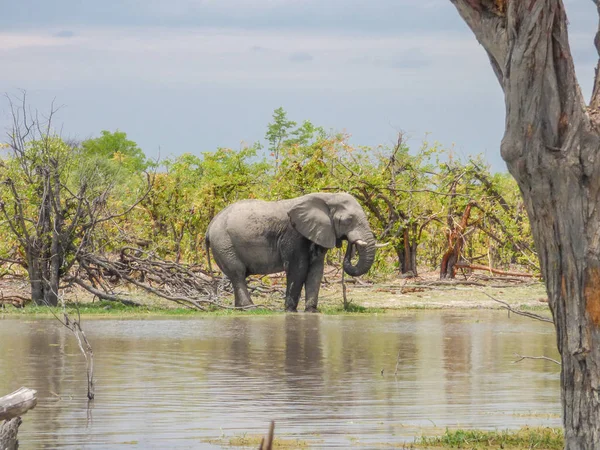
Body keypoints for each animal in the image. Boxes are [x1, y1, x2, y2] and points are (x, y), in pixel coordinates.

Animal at [206, 192, 376, 312]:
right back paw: (250, 308)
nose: (351, 244)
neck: (327, 197)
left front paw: (312, 311)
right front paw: (290, 311)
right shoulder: (293, 234)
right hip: (224, 243)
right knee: (238, 274)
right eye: (348, 220)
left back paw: (239, 309)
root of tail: (209, 227)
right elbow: (298, 269)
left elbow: (316, 271)